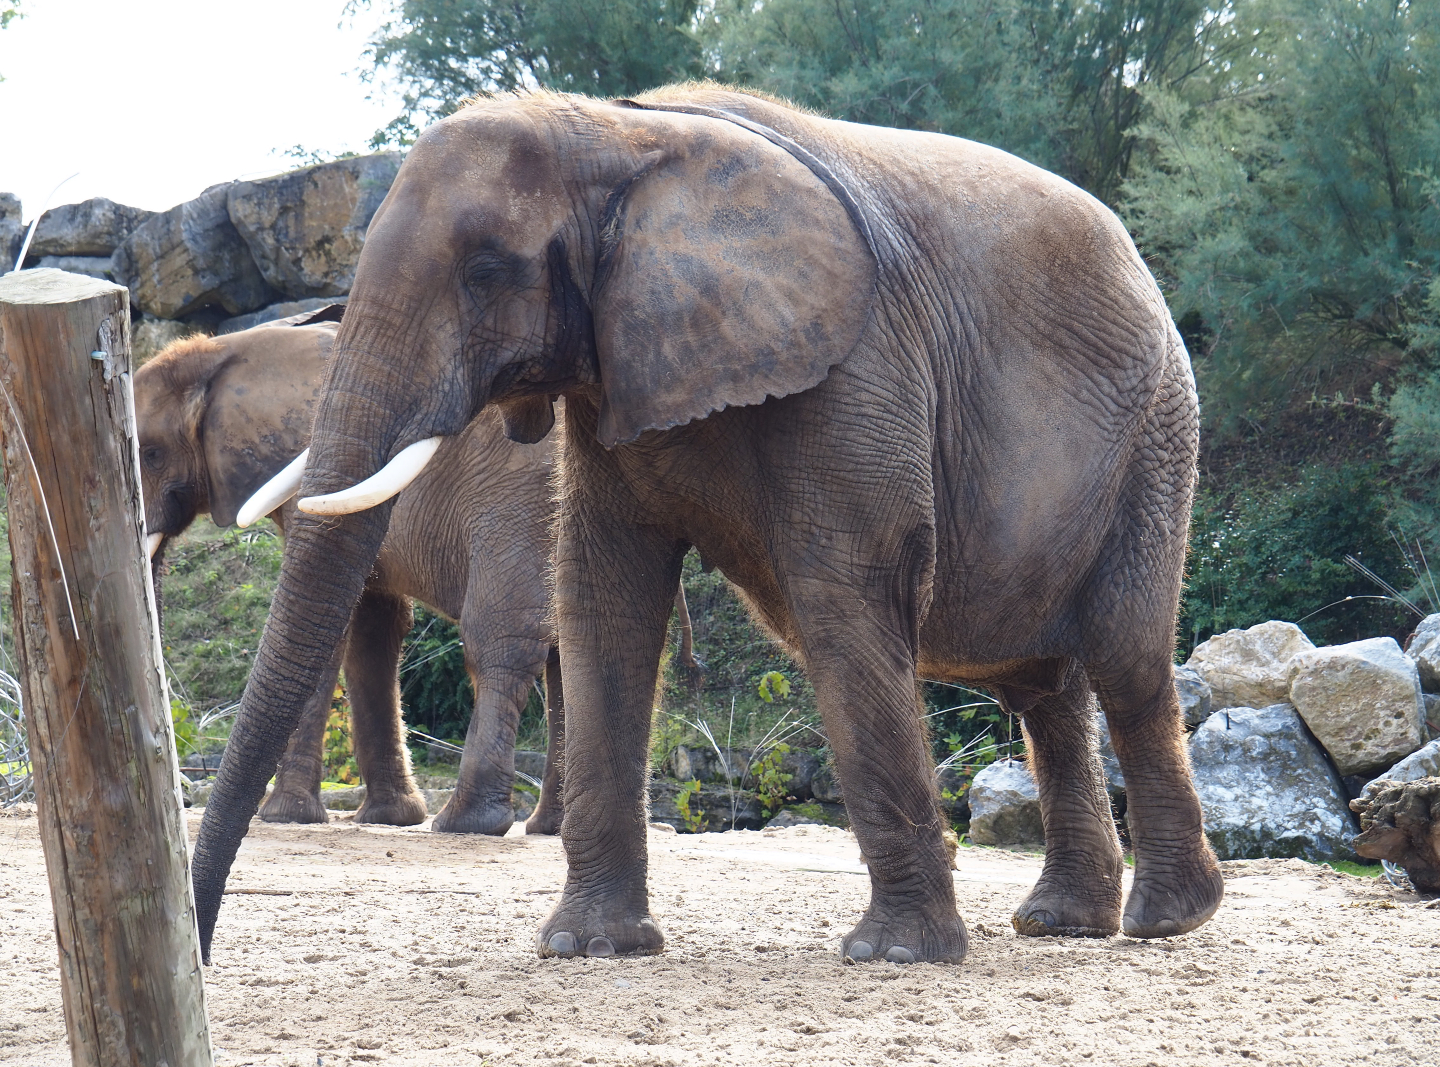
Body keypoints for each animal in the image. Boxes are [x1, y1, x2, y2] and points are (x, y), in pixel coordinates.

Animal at [191, 83, 1223, 965]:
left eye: (486, 271)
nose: (200, 947)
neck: (615, 134)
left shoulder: (858, 363)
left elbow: (844, 597)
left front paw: (894, 957)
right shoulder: (609, 374)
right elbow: (605, 602)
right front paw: (589, 948)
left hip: (1154, 432)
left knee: (1126, 658)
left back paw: (1164, 920)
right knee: (1048, 688)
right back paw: (1063, 922)